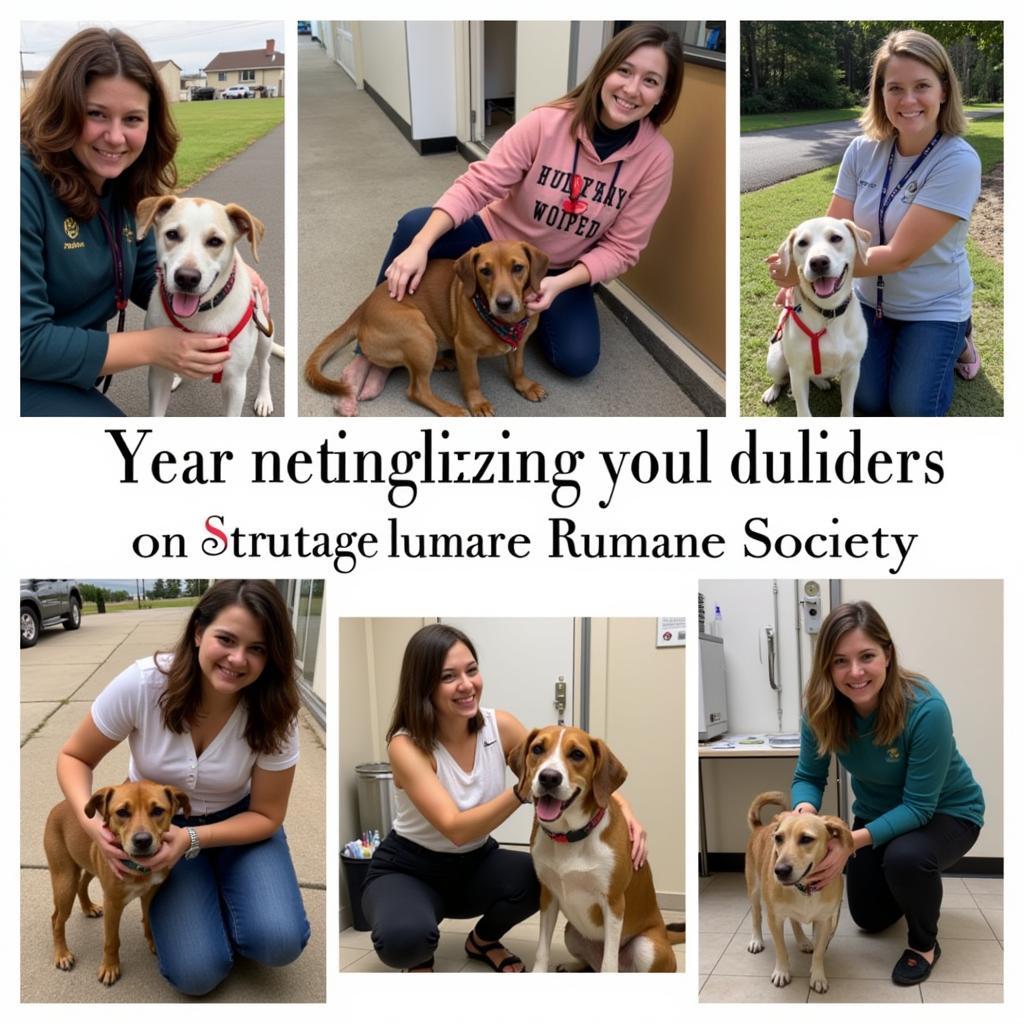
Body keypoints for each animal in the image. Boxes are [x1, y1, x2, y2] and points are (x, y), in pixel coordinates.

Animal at [43, 782, 191, 983]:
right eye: (122, 812)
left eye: (158, 811)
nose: (142, 841)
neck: (139, 867)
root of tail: (59, 806)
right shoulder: (112, 903)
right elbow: (111, 941)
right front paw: (110, 967)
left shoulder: (149, 894)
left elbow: (147, 920)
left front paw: (152, 941)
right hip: (65, 882)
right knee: (57, 919)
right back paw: (62, 954)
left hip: (90, 866)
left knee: (82, 885)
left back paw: (88, 907)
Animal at [305, 239, 552, 415]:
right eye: (485, 271)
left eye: (518, 268)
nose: (504, 303)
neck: (507, 324)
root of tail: (363, 308)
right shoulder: (465, 349)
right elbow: (472, 380)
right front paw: (477, 403)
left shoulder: (519, 343)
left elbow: (518, 367)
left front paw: (524, 385)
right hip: (419, 333)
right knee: (417, 390)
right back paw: (450, 410)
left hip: (427, 338)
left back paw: (441, 362)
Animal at [507, 724, 684, 970]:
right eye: (538, 749)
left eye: (577, 754)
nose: (549, 777)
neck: (570, 837)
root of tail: (666, 936)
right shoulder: (548, 896)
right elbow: (542, 950)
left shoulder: (613, 903)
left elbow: (609, 965)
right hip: (571, 932)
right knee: (590, 963)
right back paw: (571, 966)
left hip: (647, 947)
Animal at [745, 790, 856, 991]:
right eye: (778, 838)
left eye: (806, 839)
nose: (780, 870)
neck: (805, 889)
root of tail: (760, 827)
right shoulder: (775, 918)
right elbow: (781, 949)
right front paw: (782, 972)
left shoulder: (825, 920)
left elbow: (819, 952)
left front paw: (818, 976)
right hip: (754, 890)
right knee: (756, 916)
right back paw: (756, 940)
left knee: (794, 921)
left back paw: (803, 940)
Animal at [761, 218, 872, 417]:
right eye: (802, 243)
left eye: (836, 238)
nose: (818, 262)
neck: (828, 310)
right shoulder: (797, 372)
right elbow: (803, 411)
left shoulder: (852, 369)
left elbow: (847, 407)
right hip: (776, 361)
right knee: (781, 379)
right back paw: (772, 391)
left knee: (814, 375)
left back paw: (821, 382)